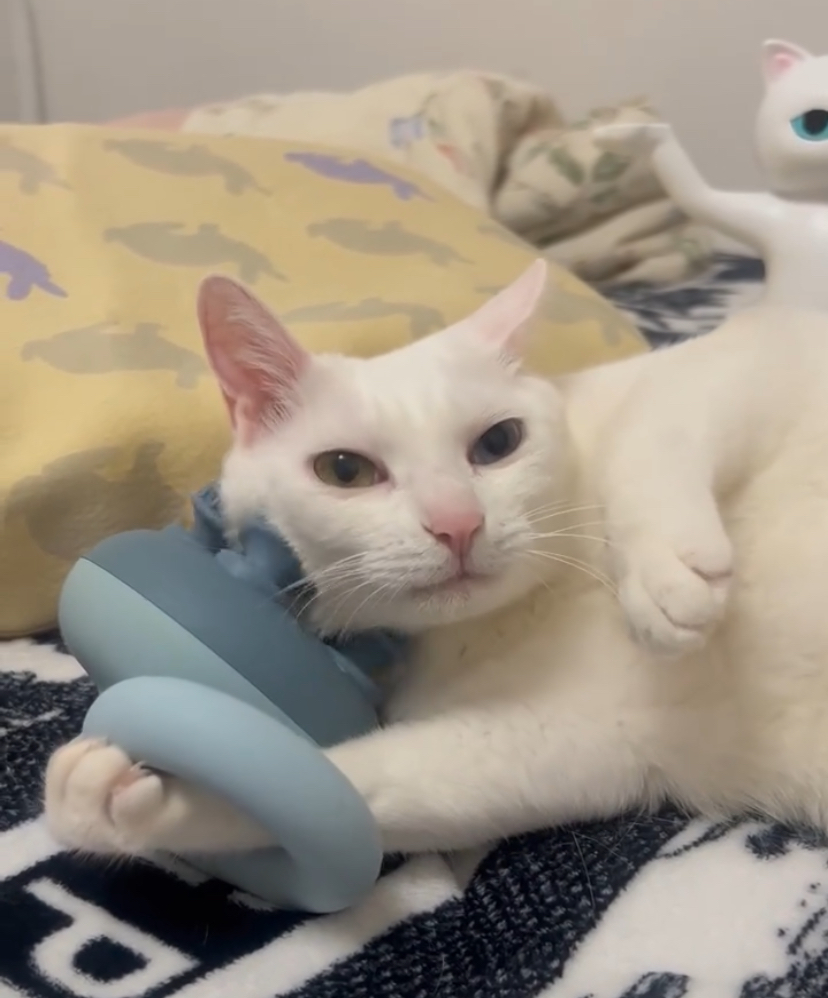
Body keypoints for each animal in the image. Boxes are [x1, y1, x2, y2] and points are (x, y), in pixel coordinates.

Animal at [43, 264, 828, 860]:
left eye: (500, 442)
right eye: (345, 471)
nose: (458, 524)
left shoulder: (754, 354)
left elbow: (659, 423)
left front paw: (664, 576)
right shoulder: (559, 742)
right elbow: (341, 787)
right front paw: (137, 801)